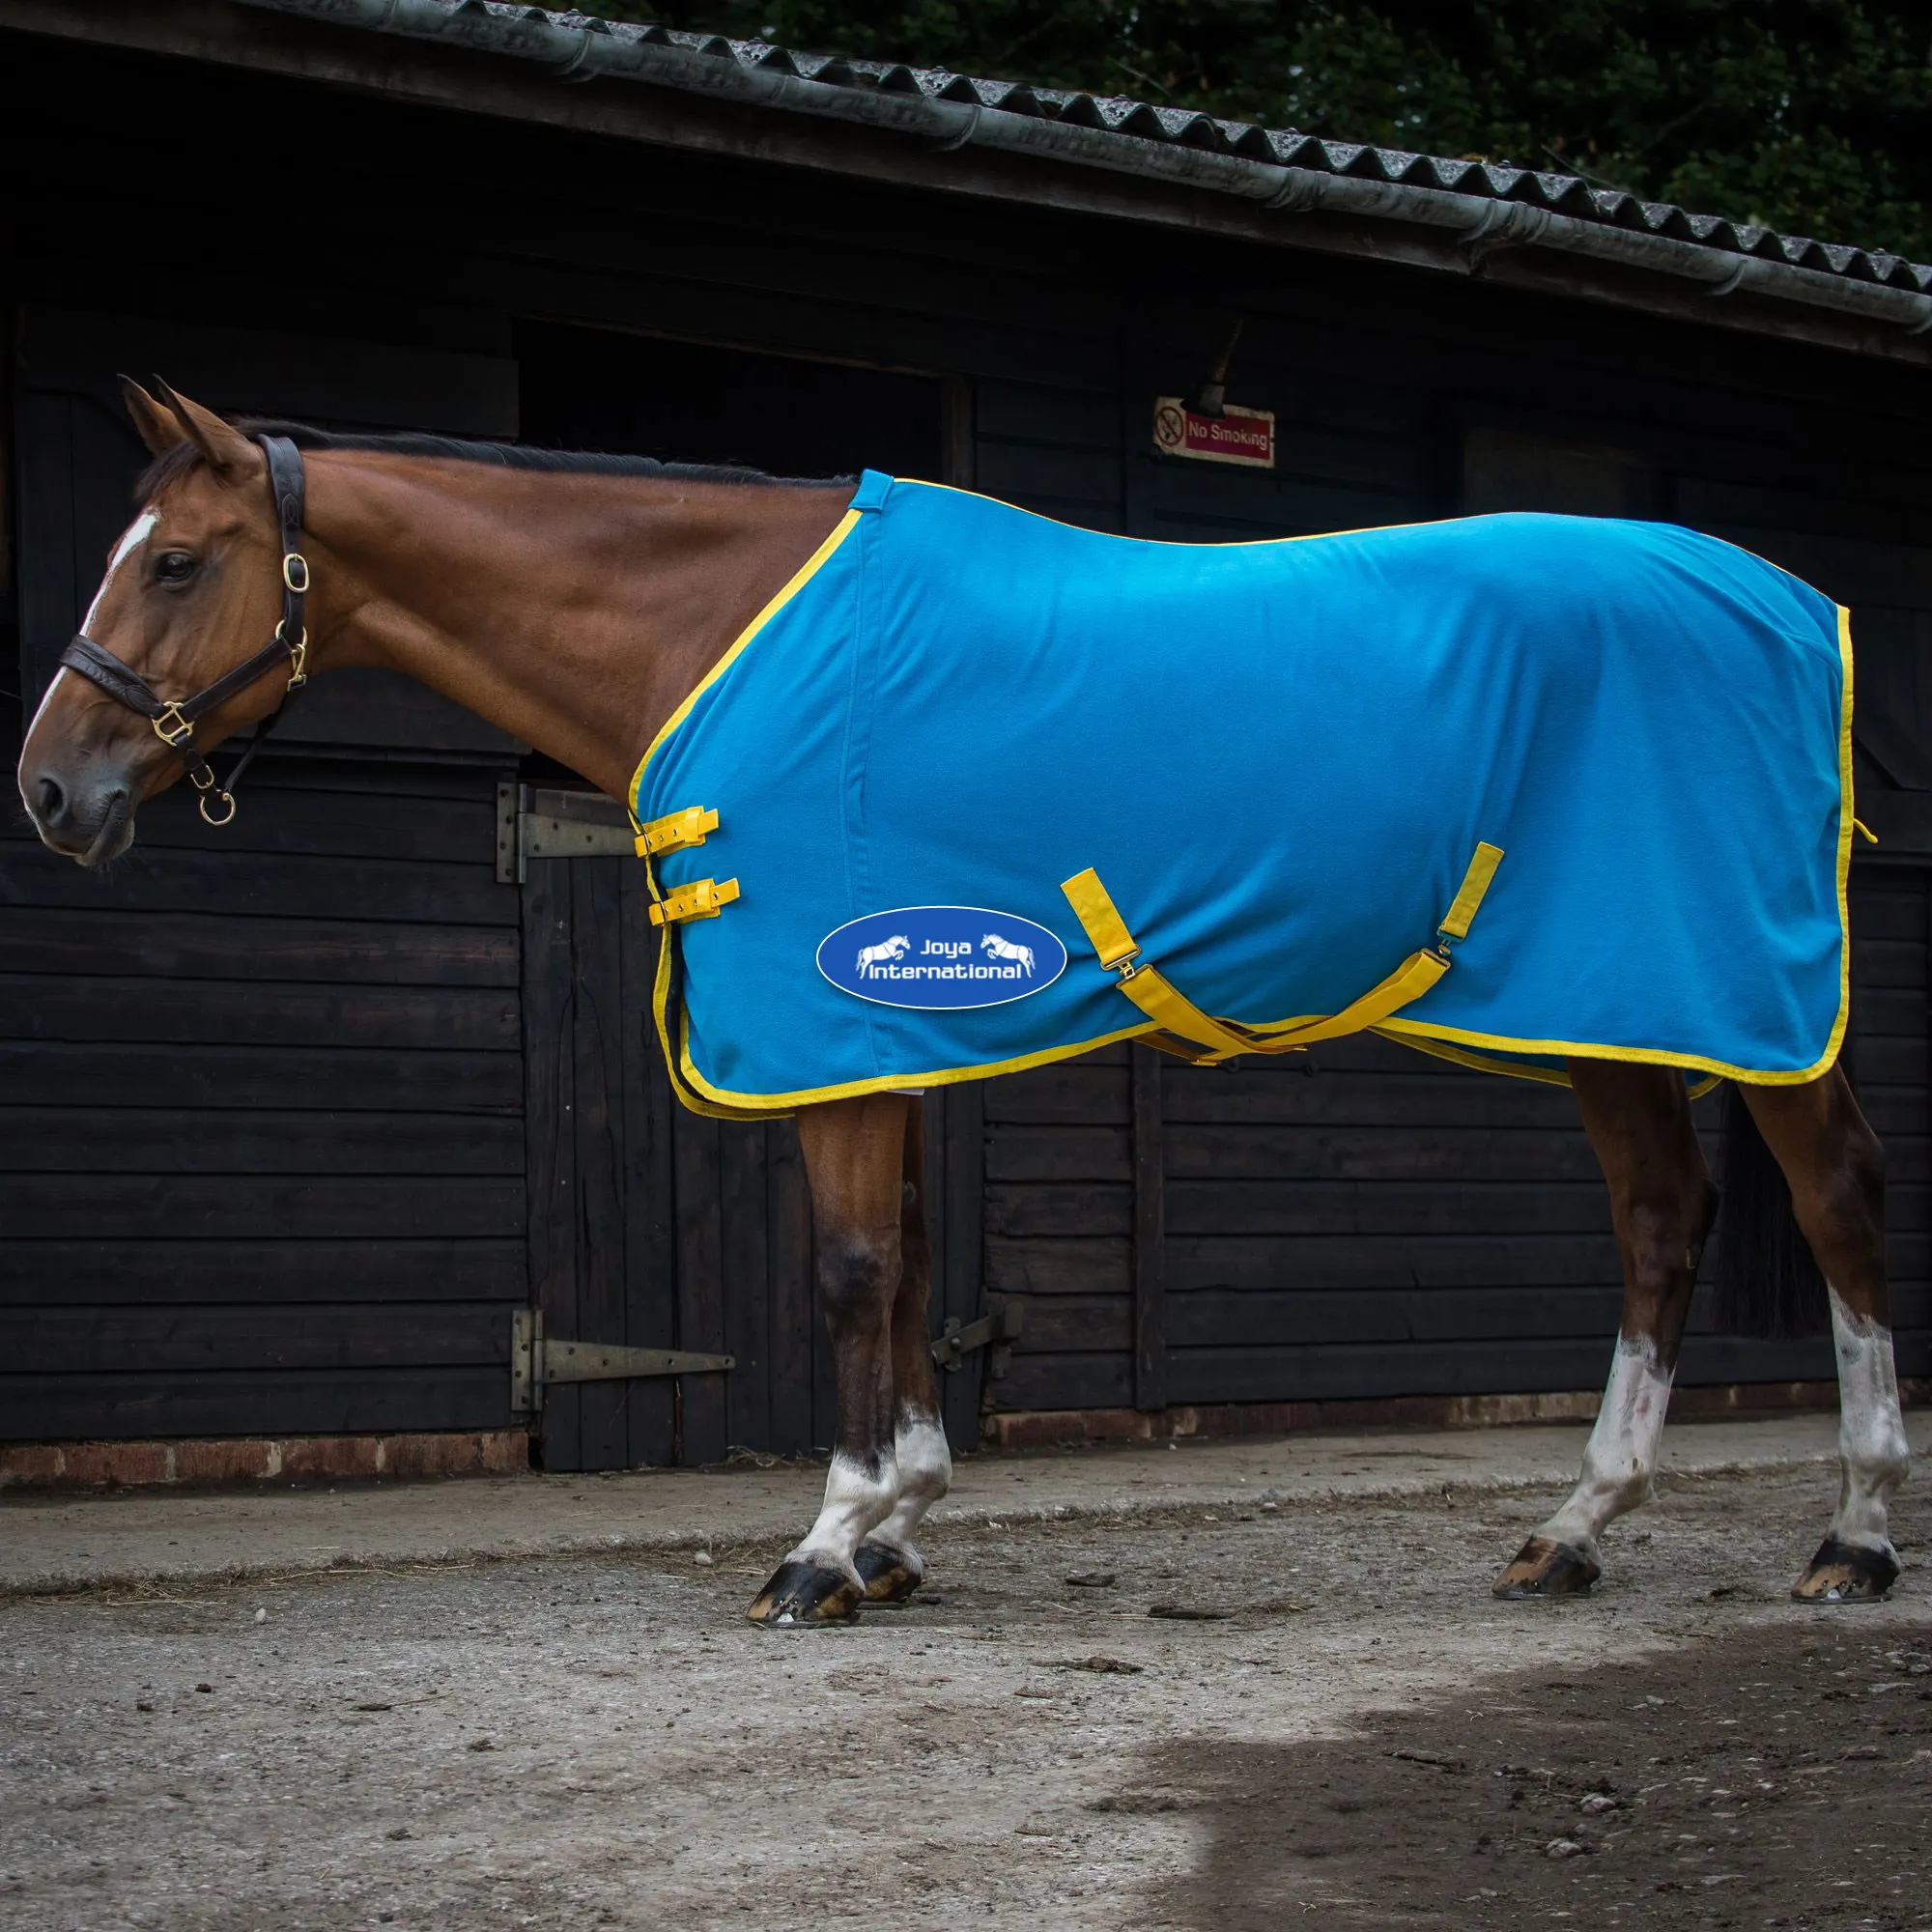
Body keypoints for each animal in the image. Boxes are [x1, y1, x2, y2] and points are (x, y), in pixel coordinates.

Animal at [17, 380, 1910, 1626]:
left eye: (173, 564)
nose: (50, 790)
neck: (719, 627)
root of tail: (1789, 601)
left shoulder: (837, 1028)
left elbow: (854, 1271)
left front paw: (825, 1546)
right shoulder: (895, 1025)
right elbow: (915, 1266)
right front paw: (901, 1529)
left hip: (1732, 993)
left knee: (1831, 1202)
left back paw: (1859, 1534)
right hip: (1613, 1007)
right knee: (1664, 1220)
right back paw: (1576, 1529)